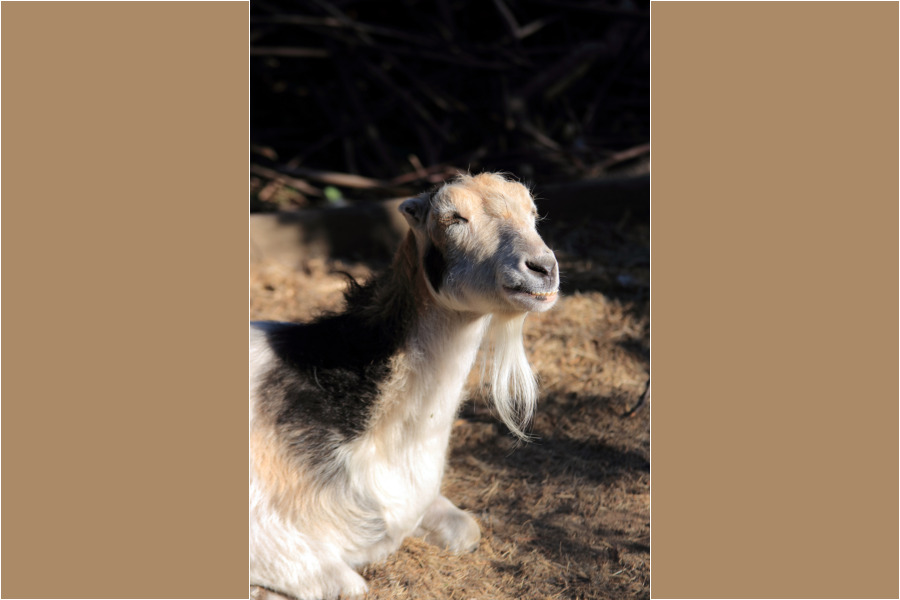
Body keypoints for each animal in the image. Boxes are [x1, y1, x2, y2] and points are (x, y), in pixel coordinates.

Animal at [250, 172, 560, 600]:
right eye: (454, 218)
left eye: (533, 213)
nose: (542, 267)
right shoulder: (268, 534)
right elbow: (350, 586)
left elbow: (467, 530)